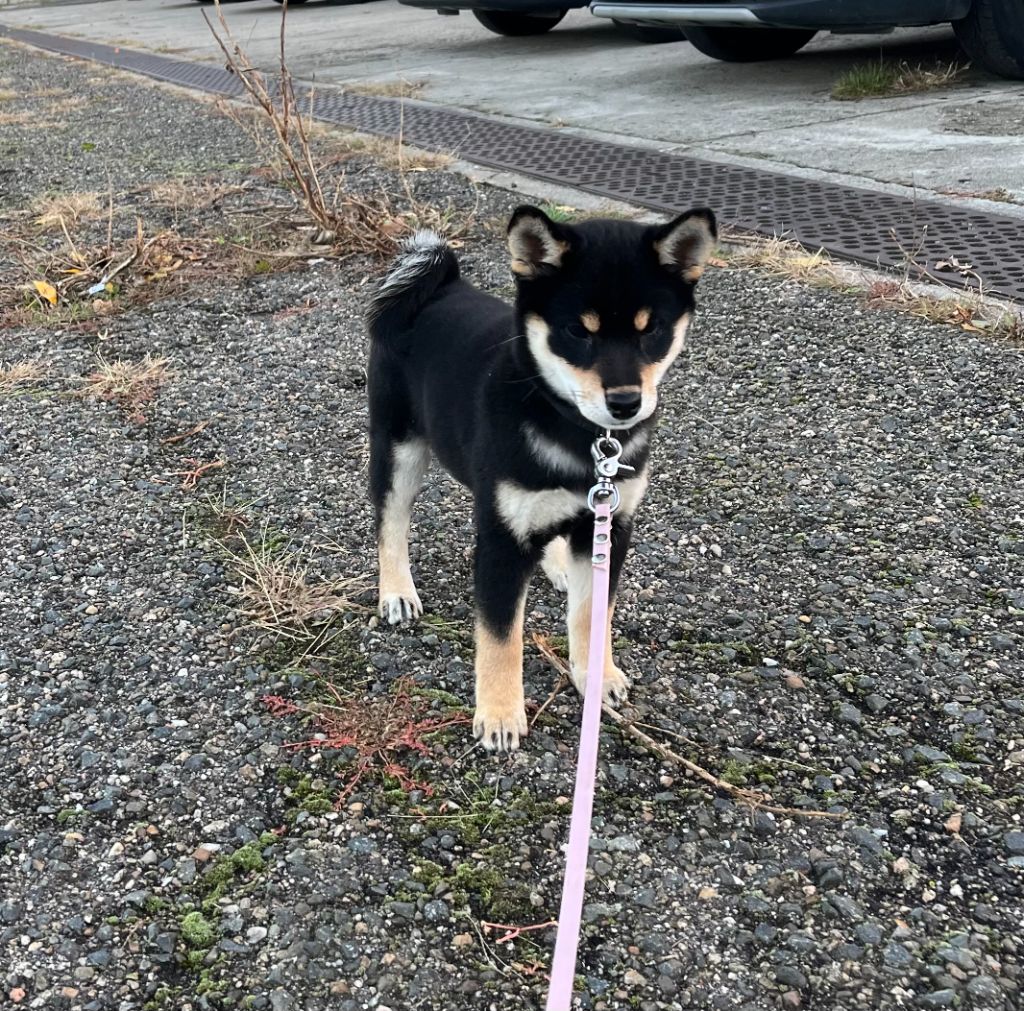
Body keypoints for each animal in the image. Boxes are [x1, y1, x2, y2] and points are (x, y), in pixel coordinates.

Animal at [366, 205, 712, 749]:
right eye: (579, 332)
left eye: (650, 330)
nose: (626, 402)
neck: (579, 436)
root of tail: (439, 287)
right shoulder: (501, 539)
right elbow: (500, 635)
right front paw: (500, 714)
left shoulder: (610, 526)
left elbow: (594, 615)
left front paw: (596, 676)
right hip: (398, 448)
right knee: (391, 524)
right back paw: (397, 592)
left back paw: (557, 566)